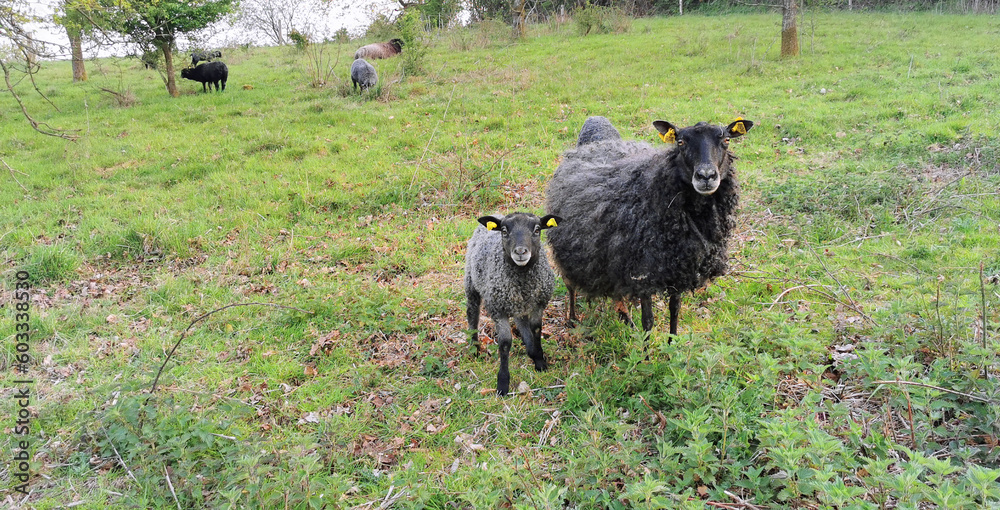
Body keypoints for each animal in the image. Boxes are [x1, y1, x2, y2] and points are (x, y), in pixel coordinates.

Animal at [465, 212, 562, 396]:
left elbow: (536, 329)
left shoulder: (538, 304)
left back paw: (531, 350)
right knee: (472, 313)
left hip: (519, 305)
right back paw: (475, 348)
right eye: (504, 231)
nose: (520, 252)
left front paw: (540, 362)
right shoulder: (498, 310)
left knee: (521, 322)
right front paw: (503, 383)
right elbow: (504, 343)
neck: (522, 277)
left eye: (537, 230)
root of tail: (497, 214)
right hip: (470, 281)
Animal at [545, 117, 754, 336]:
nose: (706, 176)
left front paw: (672, 342)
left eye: (727, 140)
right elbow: (648, 322)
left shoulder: (679, 267)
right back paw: (572, 319)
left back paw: (624, 316)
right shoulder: (642, 273)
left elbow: (675, 310)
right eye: (680, 142)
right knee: (569, 283)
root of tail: (595, 142)